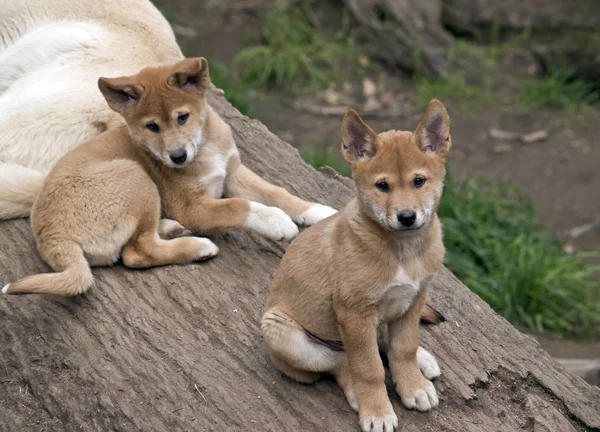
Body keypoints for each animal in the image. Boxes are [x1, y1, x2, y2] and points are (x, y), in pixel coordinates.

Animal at [1, 57, 332, 296]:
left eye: (182, 117)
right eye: (152, 127)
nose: (177, 157)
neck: (206, 147)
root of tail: (53, 238)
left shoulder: (233, 173)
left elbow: (276, 192)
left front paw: (317, 211)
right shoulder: (194, 207)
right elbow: (239, 206)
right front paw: (276, 221)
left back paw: (172, 228)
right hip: (135, 176)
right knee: (136, 252)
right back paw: (197, 246)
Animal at [262, 100, 450, 432]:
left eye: (419, 181)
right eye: (382, 186)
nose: (406, 217)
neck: (404, 251)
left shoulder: (414, 299)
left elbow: (404, 347)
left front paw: (412, 385)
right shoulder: (354, 313)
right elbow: (369, 368)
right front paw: (377, 410)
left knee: (383, 343)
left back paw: (424, 361)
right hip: (286, 335)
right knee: (340, 363)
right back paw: (358, 396)